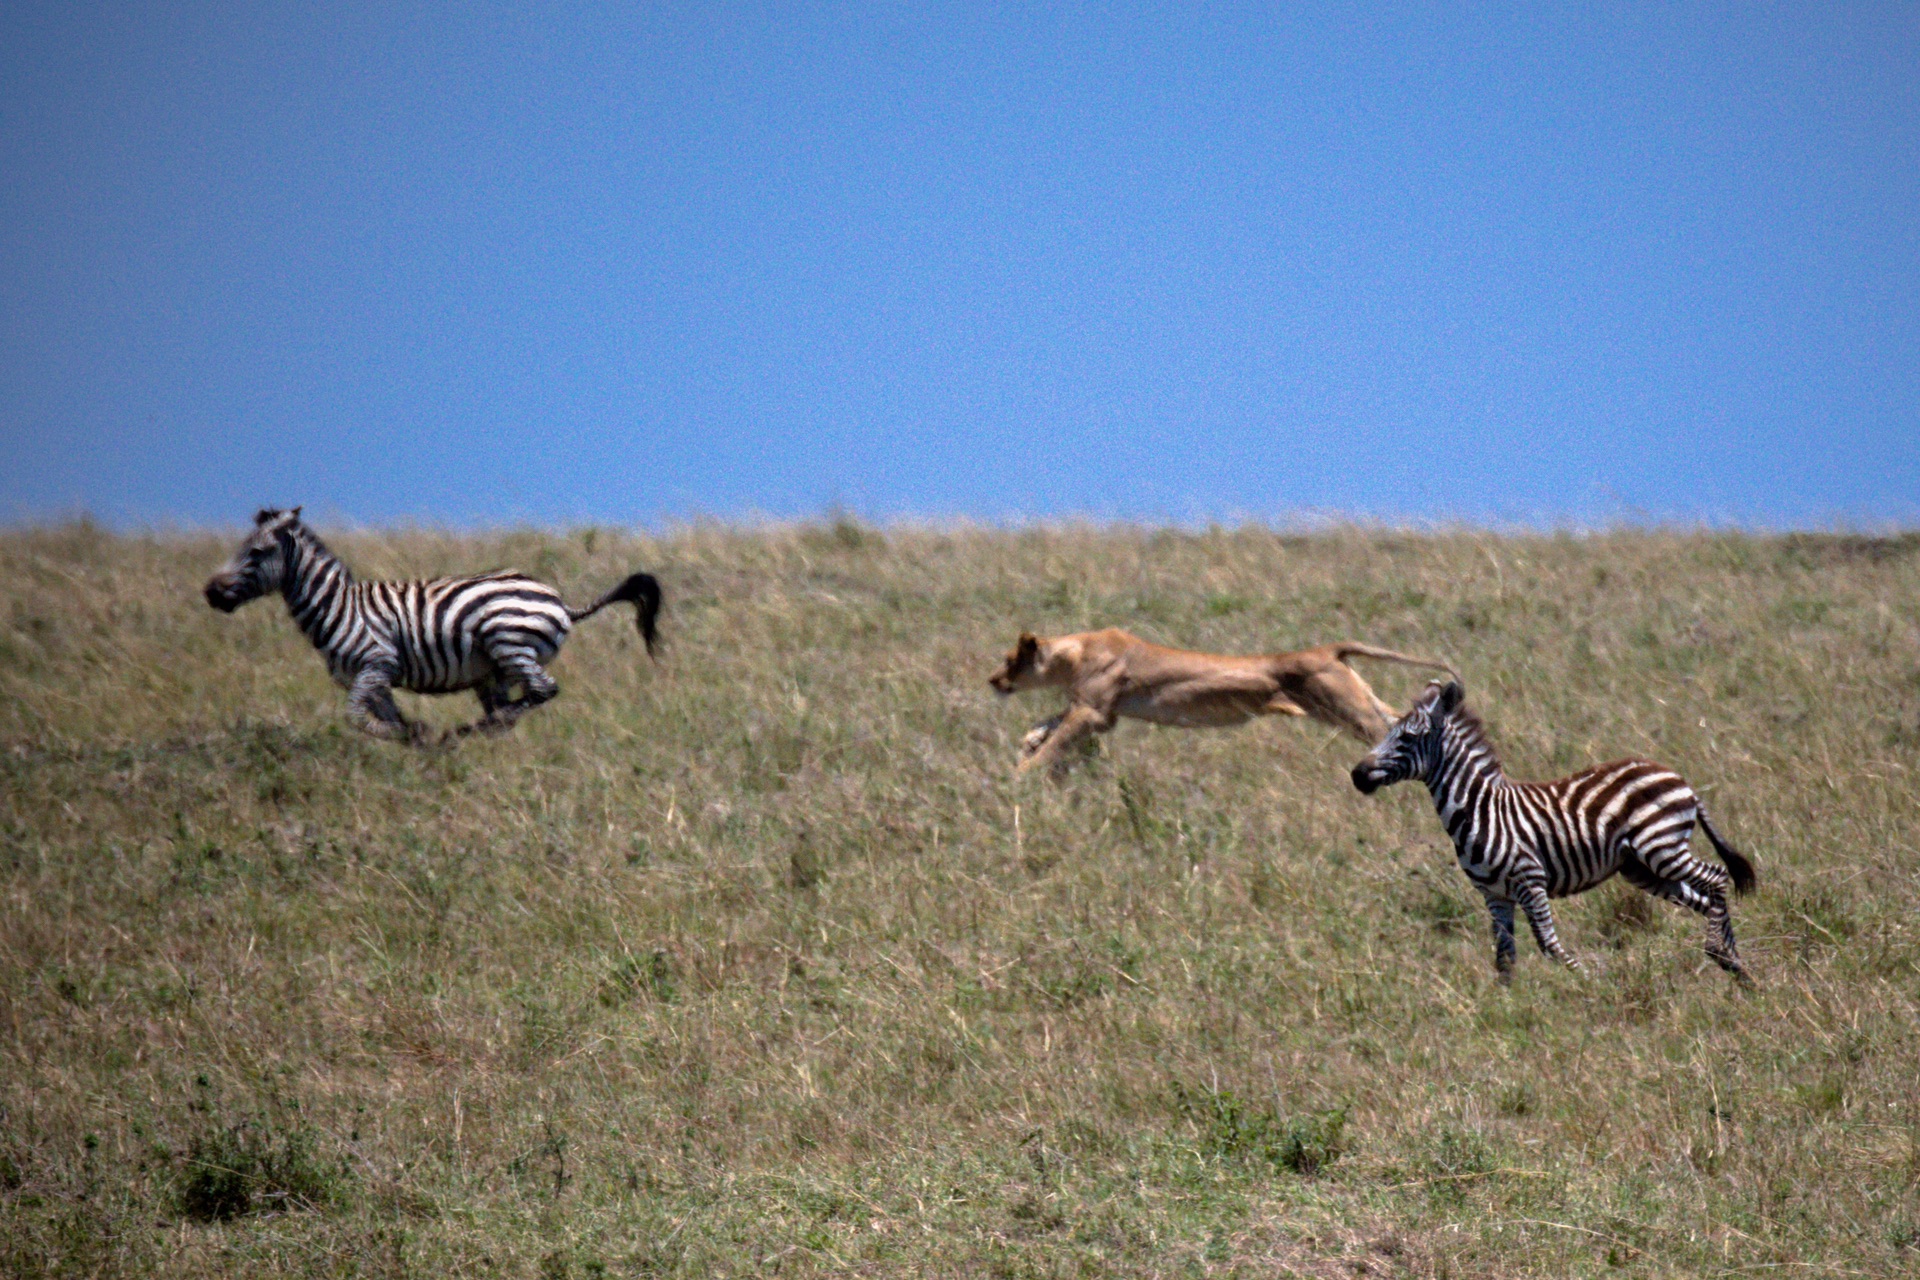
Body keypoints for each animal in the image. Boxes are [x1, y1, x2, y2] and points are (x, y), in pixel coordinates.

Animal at [203, 506, 664, 744]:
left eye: (257, 552)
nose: (210, 593)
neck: (337, 606)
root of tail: (561, 602)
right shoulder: (376, 680)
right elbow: (386, 717)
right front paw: (413, 737)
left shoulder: (377, 664)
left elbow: (354, 716)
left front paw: (414, 734)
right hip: (493, 670)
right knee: (511, 707)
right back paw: (478, 733)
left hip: (509, 643)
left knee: (541, 691)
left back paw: (468, 731)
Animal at [1351, 679, 1758, 982]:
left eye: (1407, 738)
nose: (1357, 775)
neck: (1478, 808)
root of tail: (1679, 777)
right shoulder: (1495, 896)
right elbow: (1504, 957)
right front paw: (1504, 1011)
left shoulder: (1529, 880)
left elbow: (1548, 944)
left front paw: (1591, 984)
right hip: (1641, 868)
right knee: (1705, 898)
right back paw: (1735, 965)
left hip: (1662, 847)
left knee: (1717, 878)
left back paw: (1722, 954)